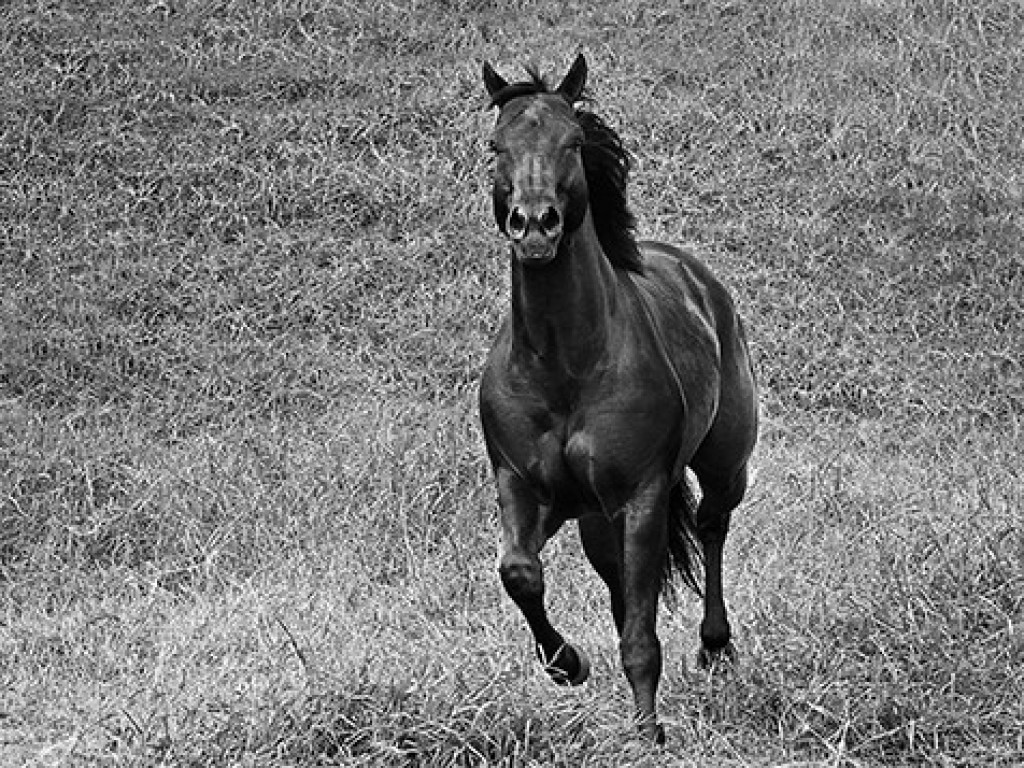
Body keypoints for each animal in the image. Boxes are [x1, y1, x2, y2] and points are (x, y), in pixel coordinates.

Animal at [475, 55, 757, 745]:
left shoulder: (641, 497)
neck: (565, 366)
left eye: (574, 142)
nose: (535, 225)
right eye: (495, 146)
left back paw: (715, 647)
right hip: (597, 521)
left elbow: (640, 636)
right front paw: (566, 665)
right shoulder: (524, 486)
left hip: (722, 465)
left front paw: (648, 734)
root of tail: (698, 280)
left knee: (711, 526)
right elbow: (519, 572)